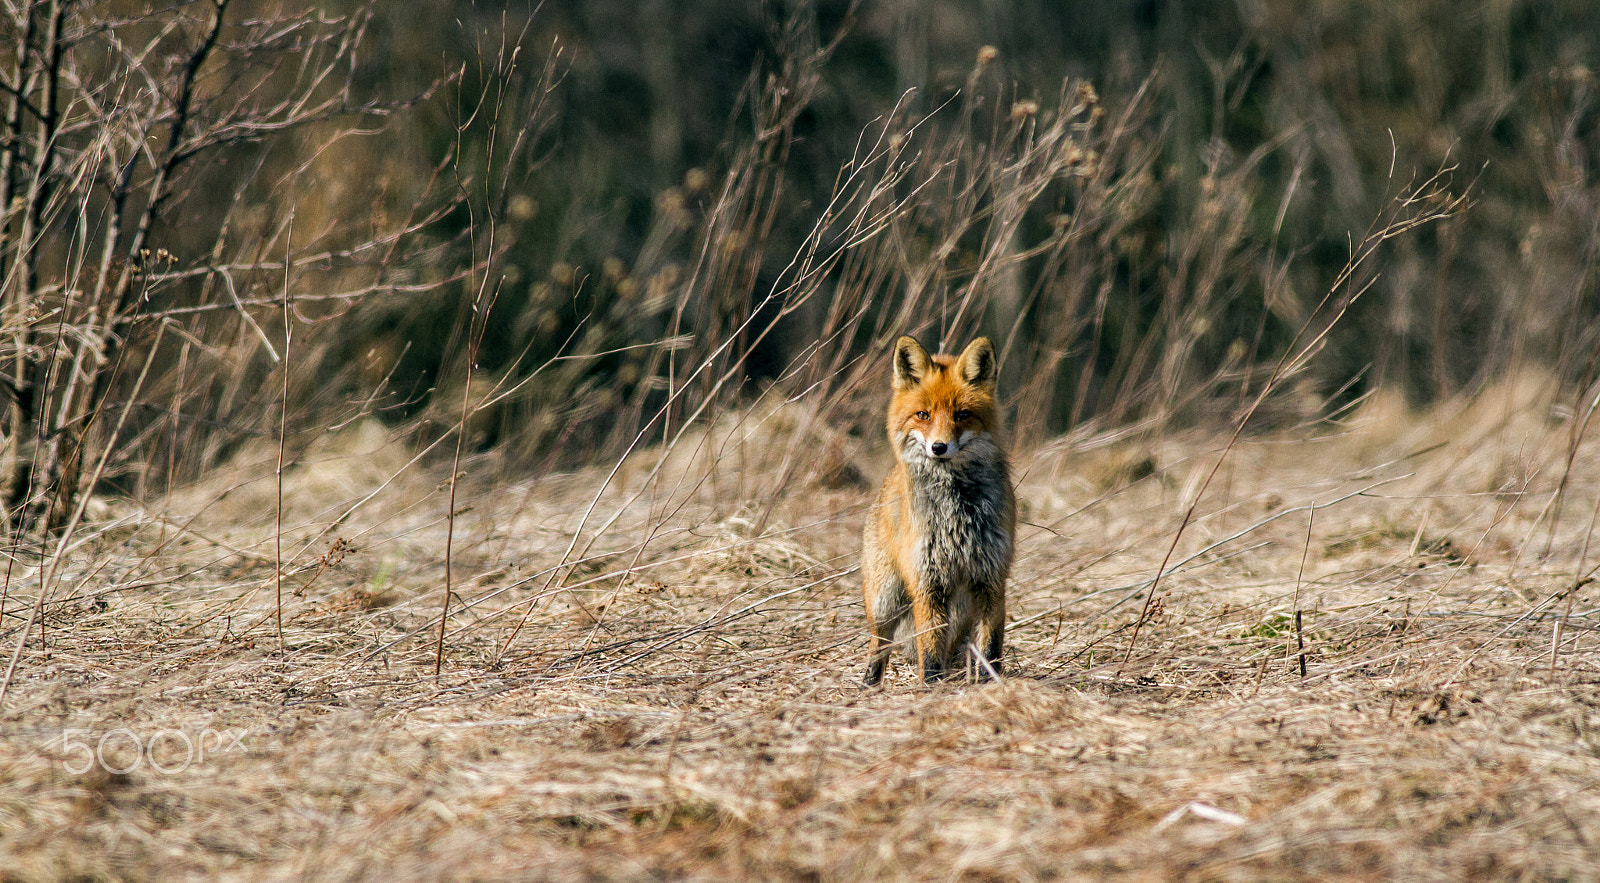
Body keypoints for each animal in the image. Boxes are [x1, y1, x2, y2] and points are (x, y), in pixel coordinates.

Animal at [864, 334, 1011, 687]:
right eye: (923, 414)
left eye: (962, 414)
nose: (939, 448)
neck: (957, 510)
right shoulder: (927, 583)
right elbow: (928, 654)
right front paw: (930, 690)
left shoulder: (992, 578)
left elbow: (990, 650)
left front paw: (989, 688)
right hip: (885, 599)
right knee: (879, 644)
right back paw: (868, 685)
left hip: (959, 611)